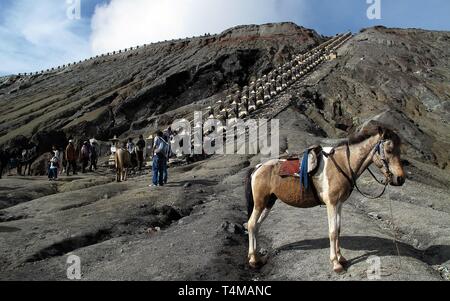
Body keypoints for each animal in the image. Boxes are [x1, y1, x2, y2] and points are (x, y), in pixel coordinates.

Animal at [244, 119, 406, 272]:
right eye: (389, 150)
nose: (400, 179)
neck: (343, 164)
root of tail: (258, 168)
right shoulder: (331, 203)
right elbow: (333, 232)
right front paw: (336, 263)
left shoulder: (339, 204)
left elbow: (338, 229)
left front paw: (341, 258)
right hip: (260, 202)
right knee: (251, 224)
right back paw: (253, 260)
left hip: (269, 202)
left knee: (257, 225)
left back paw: (257, 257)